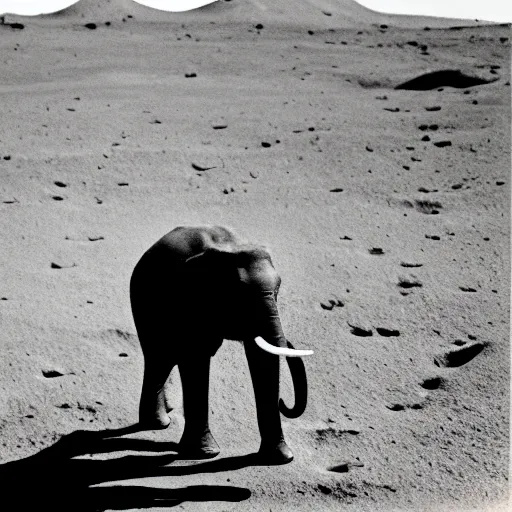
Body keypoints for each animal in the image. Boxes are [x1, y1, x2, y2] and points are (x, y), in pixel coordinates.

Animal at [130, 224, 310, 464]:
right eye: (239, 296)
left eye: (278, 290)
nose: (283, 402)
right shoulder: (188, 300)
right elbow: (195, 359)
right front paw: (206, 454)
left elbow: (259, 358)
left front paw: (279, 458)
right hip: (144, 302)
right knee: (160, 358)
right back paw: (159, 424)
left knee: (163, 362)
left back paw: (161, 420)